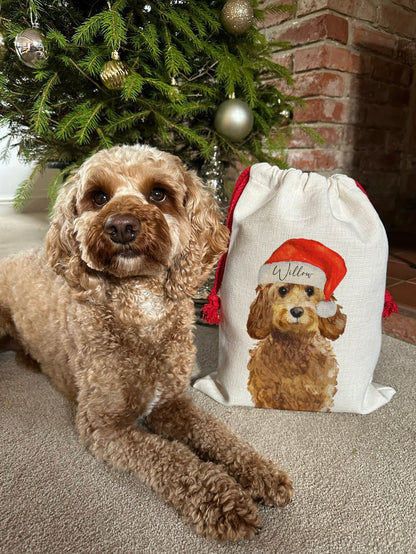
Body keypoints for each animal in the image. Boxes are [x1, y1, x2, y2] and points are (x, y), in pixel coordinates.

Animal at [0, 144, 292, 536]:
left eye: (158, 193)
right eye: (99, 197)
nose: (122, 225)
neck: (140, 307)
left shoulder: (172, 402)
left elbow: (217, 433)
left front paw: (260, 472)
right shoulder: (104, 426)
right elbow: (171, 456)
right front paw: (223, 501)